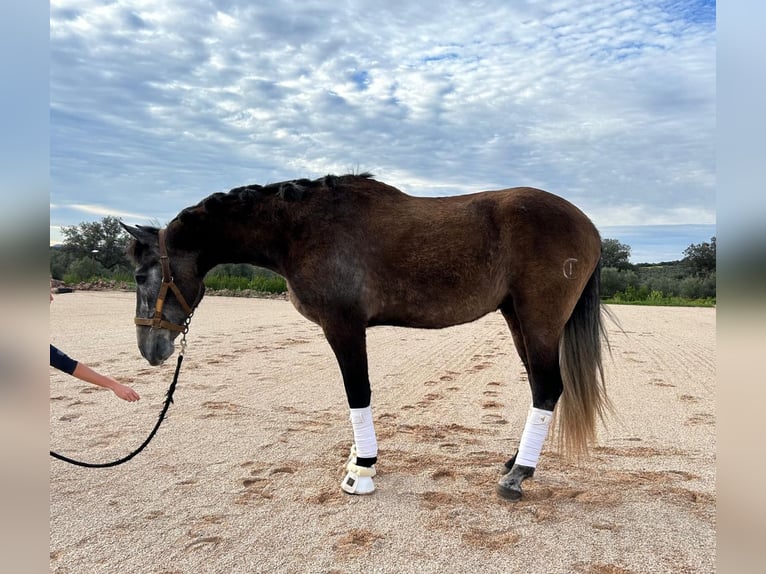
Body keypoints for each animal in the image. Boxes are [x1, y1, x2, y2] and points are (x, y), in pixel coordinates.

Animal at [121, 173, 612, 502]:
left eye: (143, 275)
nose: (150, 349)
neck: (301, 229)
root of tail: (588, 226)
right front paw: (358, 458)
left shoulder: (343, 325)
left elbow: (357, 392)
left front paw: (362, 470)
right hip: (517, 319)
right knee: (539, 388)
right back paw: (515, 464)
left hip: (538, 320)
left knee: (547, 388)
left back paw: (516, 476)